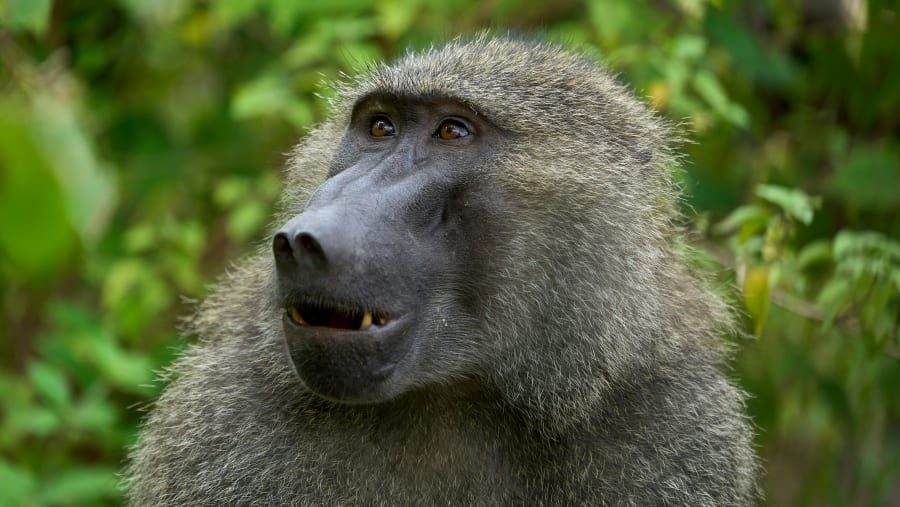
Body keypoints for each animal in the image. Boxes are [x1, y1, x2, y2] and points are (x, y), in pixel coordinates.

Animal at [127, 35, 759, 506]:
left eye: (453, 131)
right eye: (379, 127)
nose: (302, 242)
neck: (456, 394)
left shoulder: (676, 428)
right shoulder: (224, 419)